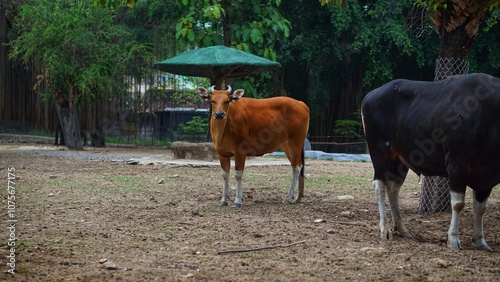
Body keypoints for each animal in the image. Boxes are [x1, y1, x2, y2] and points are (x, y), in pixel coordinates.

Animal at [362, 73, 500, 251]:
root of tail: (370, 96)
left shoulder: (486, 174)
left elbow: (481, 208)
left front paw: (480, 241)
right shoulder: (457, 164)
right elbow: (458, 204)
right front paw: (453, 239)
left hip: (399, 158)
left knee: (393, 188)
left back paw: (402, 229)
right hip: (379, 149)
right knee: (380, 186)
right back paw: (385, 229)